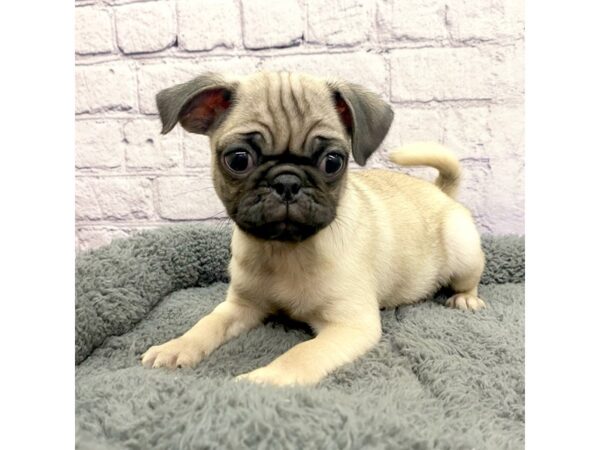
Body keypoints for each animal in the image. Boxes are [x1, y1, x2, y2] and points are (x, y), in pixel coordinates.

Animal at [142, 71, 488, 386]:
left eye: (332, 162)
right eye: (238, 160)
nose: (287, 182)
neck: (283, 249)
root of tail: (441, 191)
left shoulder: (349, 325)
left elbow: (302, 354)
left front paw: (266, 379)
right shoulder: (240, 306)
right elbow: (206, 324)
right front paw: (175, 347)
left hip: (463, 251)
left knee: (469, 279)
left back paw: (465, 299)